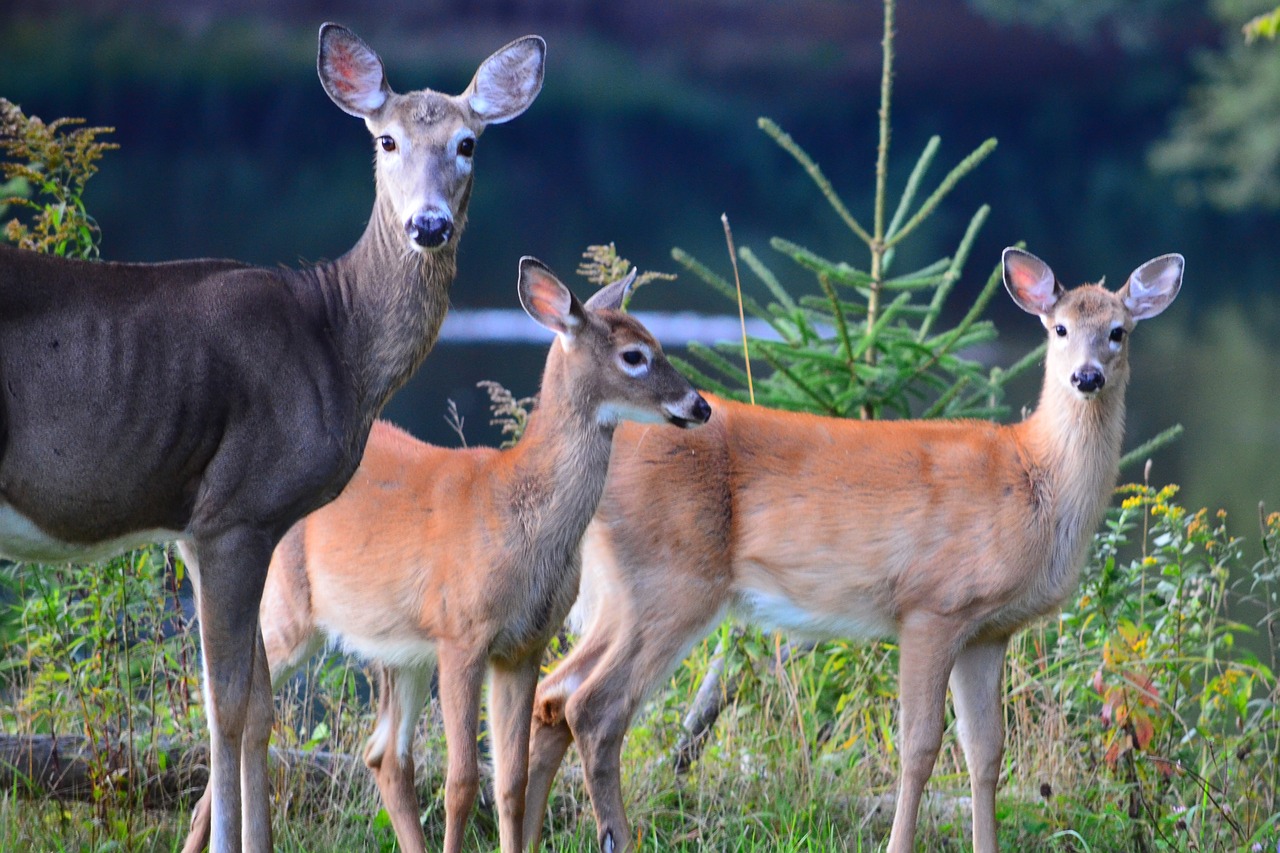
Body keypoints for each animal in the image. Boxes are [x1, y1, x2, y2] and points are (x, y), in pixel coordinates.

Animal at [0, 23, 545, 845]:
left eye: (468, 143)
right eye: (385, 139)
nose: (427, 225)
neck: (334, 337)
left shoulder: (226, 528)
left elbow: (258, 708)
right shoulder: (231, 512)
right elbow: (226, 707)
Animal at [181, 257, 716, 850]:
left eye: (657, 342)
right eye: (635, 355)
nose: (700, 405)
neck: (520, 517)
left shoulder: (523, 646)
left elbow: (511, 781)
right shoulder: (463, 632)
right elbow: (461, 781)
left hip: (399, 647)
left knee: (384, 753)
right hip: (287, 610)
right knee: (232, 716)